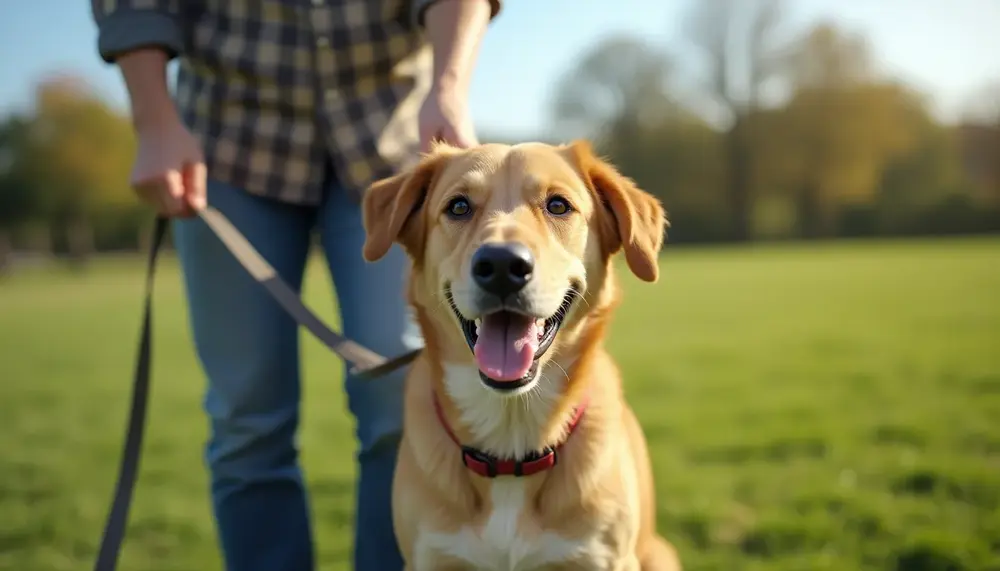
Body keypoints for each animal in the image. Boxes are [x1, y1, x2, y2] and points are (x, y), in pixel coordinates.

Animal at [360, 140, 680, 571]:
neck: (510, 442)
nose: (501, 265)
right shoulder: (430, 558)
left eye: (558, 205)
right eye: (458, 206)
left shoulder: (606, 558)